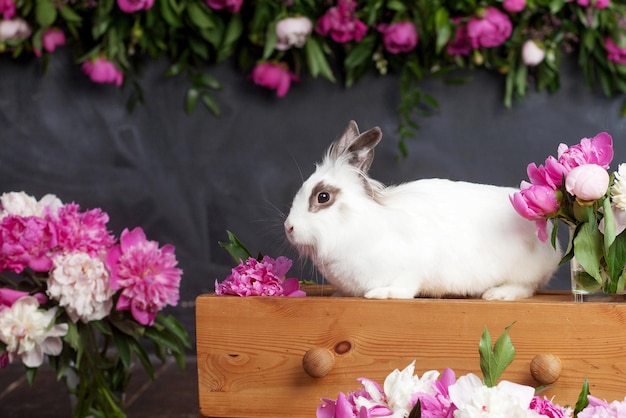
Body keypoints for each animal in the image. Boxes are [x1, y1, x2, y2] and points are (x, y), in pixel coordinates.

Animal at [282, 119, 560, 298]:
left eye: (323, 197)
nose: (289, 228)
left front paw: (381, 293)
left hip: (523, 271)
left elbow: (404, 288)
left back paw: (497, 295)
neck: (359, 224)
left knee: (525, 287)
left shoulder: (411, 269)